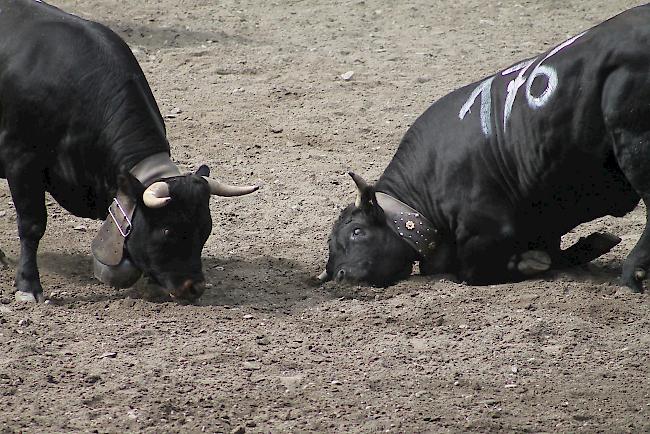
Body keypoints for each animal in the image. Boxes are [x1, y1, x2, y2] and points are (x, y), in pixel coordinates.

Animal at [0, 0, 258, 304]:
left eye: (206, 228)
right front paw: (28, 285)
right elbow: (32, 225)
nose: (194, 288)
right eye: (167, 229)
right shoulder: (21, 162)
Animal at [322, 4, 650, 292]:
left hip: (634, 143)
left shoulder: (486, 230)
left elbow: (472, 271)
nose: (340, 276)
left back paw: (633, 271)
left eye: (357, 232)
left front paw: (530, 263)